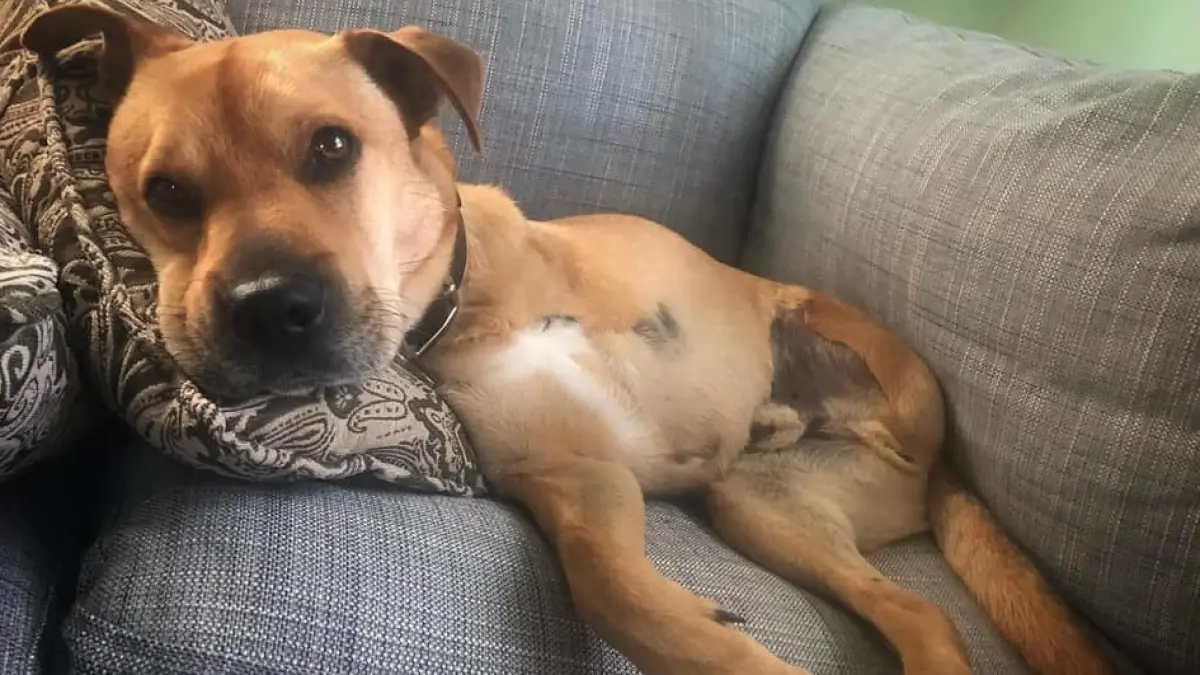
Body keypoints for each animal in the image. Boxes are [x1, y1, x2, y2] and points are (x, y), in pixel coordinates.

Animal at [22, 5, 1117, 674]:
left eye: (332, 147)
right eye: (166, 192)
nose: (264, 306)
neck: (466, 297)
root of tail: (933, 481)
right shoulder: (576, 479)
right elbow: (610, 587)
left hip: (850, 377)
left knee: (909, 536)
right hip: (767, 507)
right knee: (915, 604)